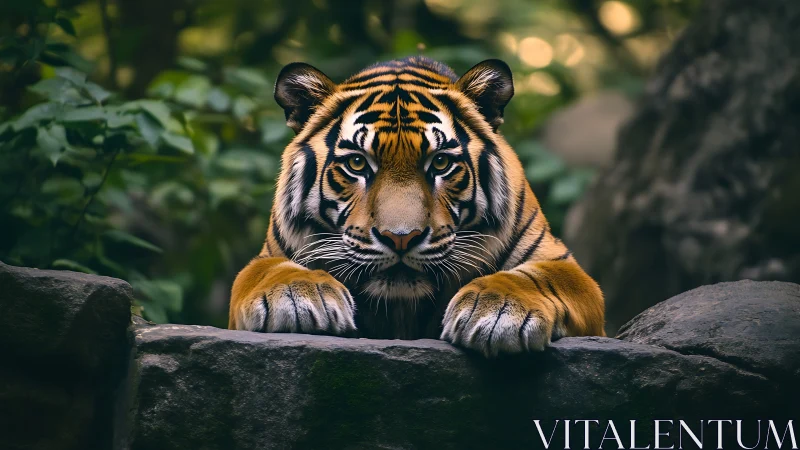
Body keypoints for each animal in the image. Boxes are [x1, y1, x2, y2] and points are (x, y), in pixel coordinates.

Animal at [228, 56, 604, 356]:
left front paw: (499, 311)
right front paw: (298, 297)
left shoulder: (563, 266)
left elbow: (536, 278)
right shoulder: (267, 256)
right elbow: (263, 271)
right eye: (356, 163)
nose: (401, 237)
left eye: (440, 163)